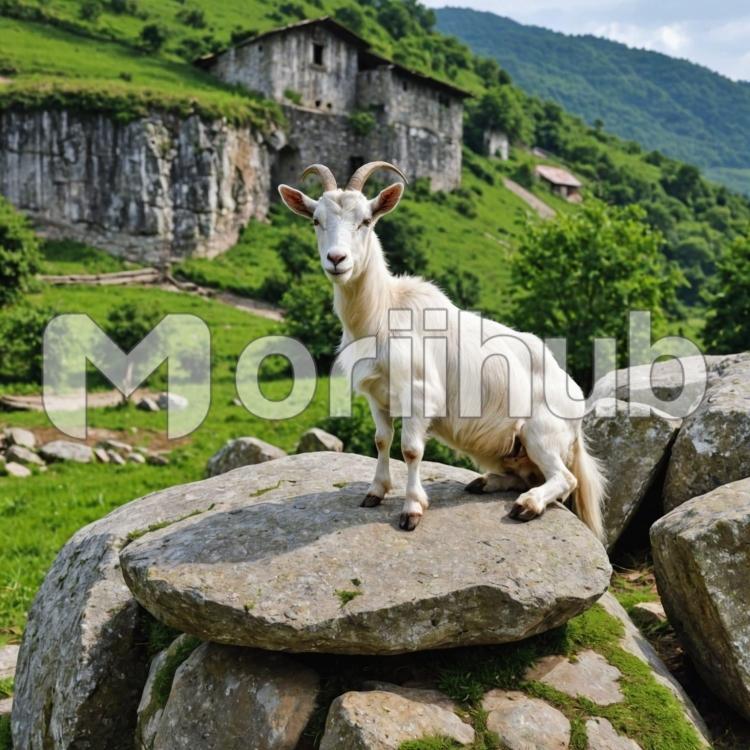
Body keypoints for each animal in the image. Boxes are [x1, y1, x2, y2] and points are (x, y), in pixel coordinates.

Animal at [279, 162, 605, 538]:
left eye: (366, 220)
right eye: (316, 220)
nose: (336, 259)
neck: (382, 313)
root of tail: (577, 409)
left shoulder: (420, 394)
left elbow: (410, 450)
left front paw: (412, 508)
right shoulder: (377, 396)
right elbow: (381, 440)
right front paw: (375, 492)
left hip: (541, 432)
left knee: (563, 479)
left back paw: (527, 504)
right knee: (526, 474)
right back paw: (485, 483)